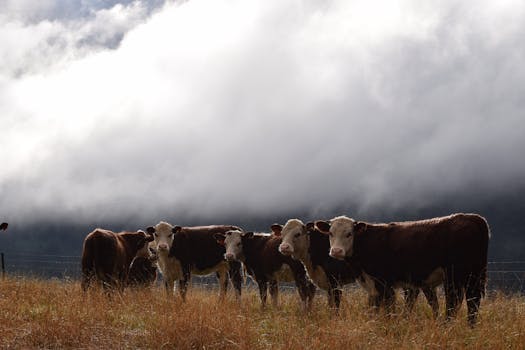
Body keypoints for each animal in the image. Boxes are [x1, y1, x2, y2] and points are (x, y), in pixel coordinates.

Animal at [316, 213, 492, 326]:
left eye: (349, 233)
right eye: (330, 233)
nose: (336, 251)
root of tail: (473, 218)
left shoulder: (383, 282)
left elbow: (388, 308)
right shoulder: (375, 285)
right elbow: (376, 308)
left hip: (454, 275)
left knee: (454, 301)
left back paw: (448, 326)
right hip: (474, 275)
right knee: (473, 301)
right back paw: (470, 327)